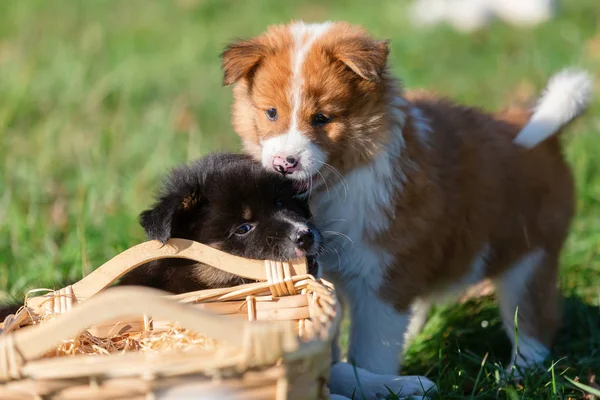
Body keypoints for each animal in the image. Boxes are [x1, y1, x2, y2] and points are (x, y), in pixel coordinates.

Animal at [219, 19, 592, 394]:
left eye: (322, 118)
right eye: (271, 112)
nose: (284, 164)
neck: (339, 181)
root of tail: (535, 129)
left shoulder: (381, 277)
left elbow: (371, 351)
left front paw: (375, 383)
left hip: (529, 258)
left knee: (534, 322)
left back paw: (517, 374)